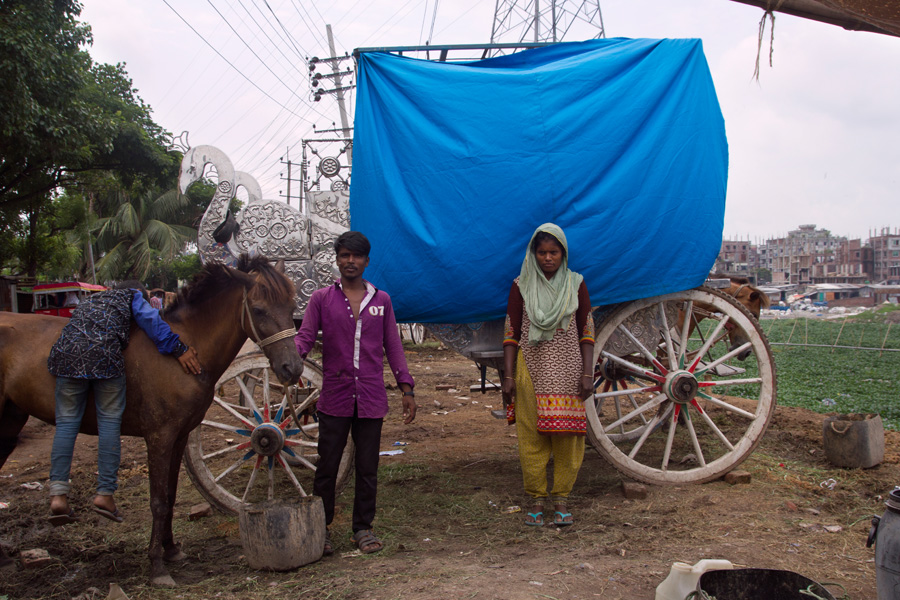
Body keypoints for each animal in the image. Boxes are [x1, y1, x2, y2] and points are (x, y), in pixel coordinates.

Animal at [0, 254, 302, 587]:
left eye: (291, 306)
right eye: (258, 309)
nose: (293, 368)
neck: (184, 348)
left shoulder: (180, 435)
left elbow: (169, 496)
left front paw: (171, 550)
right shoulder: (159, 436)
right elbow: (157, 500)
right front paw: (157, 566)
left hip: (10, 421)